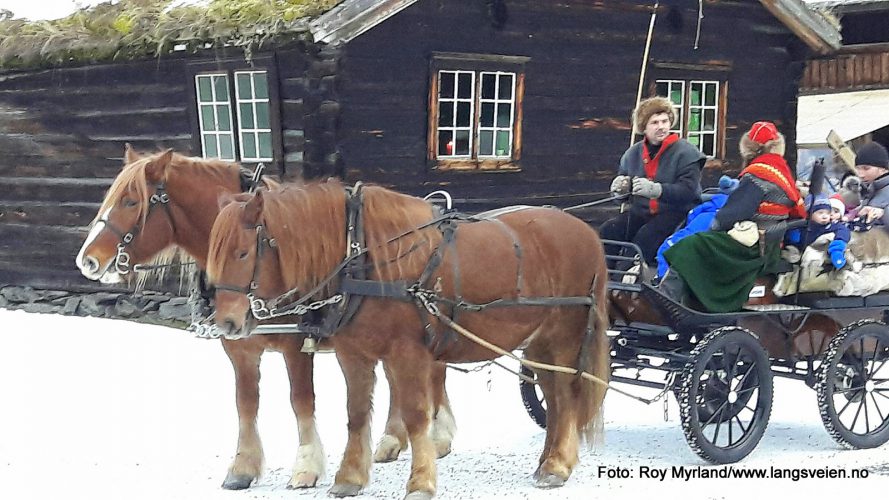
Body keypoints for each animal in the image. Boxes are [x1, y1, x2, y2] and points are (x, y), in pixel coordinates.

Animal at [73, 146, 454, 490]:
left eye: (130, 202)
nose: (87, 260)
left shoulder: (296, 346)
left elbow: (301, 400)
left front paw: (306, 466)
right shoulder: (238, 348)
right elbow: (245, 403)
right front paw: (243, 466)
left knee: (434, 372)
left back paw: (440, 434)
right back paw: (392, 438)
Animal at [208, 184, 612, 500]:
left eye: (242, 252)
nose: (227, 323)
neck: (363, 256)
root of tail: (588, 233)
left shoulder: (409, 353)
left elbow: (417, 415)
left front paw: (421, 481)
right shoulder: (352, 353)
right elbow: (356, 413)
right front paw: (350, 477)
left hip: (564, 336)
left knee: (566, 398)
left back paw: (558, 465)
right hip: (539, 343)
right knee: (555, 399)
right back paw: (547, 462)